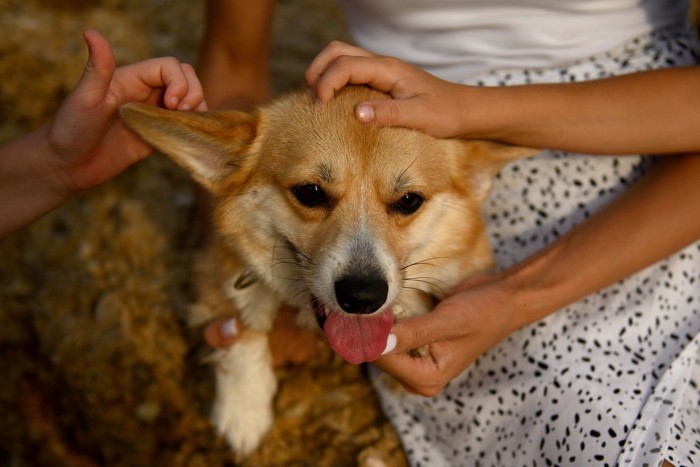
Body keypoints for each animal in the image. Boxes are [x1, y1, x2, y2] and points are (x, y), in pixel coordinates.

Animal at [121, 87, 536, 458]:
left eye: (409, 200)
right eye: (310, 192)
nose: (363, 297)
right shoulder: (223, 266)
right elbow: (243, 325)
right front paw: (244, 410)